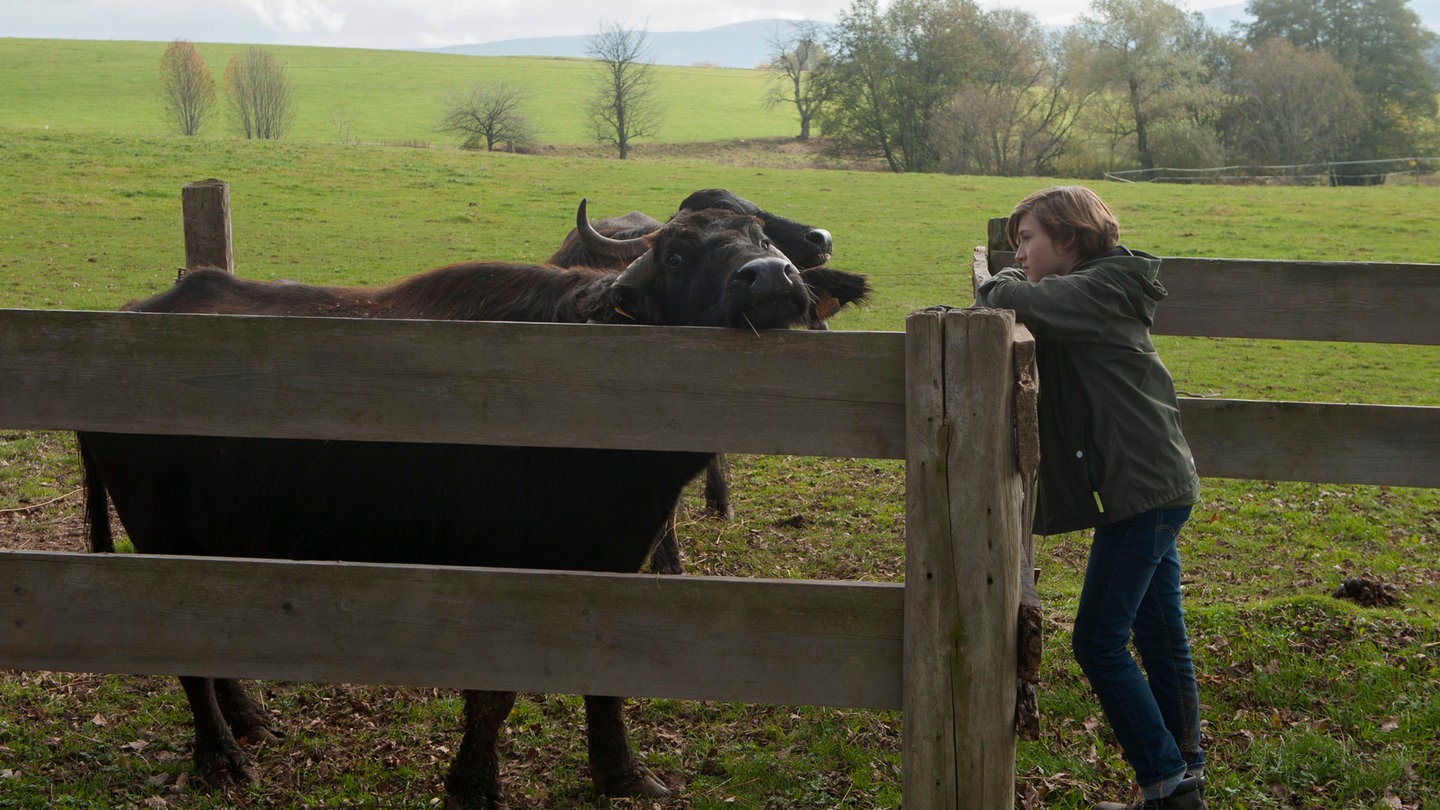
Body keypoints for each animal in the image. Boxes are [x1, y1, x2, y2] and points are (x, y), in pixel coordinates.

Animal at [78, 200, 869, 807]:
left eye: (762, 238)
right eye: (676, 254)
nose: (770, 277)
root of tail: (130, 314)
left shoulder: (616, 559)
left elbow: (606, 681)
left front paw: (622, 775)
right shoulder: (494, 569)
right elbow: (493, 694)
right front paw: (474, 784)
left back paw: (250, 722)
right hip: (160, 532)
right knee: (183, 652)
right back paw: (220, 758)